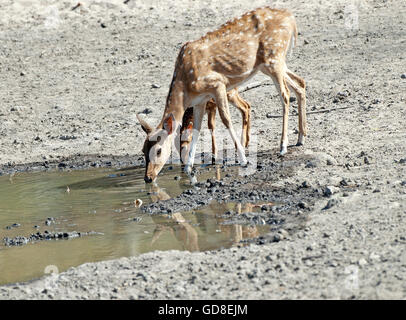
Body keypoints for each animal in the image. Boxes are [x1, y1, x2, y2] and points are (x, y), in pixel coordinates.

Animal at [138, 6, 306, 182]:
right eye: (143, 150)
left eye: (158, 150)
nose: (148, 178)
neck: (186, 88)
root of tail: (291, 18)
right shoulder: (200, 100)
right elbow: (197, 128)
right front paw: (189, 167)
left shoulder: (217, 84)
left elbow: (226, 120)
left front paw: (243, 159)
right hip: (270, 65)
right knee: (299, 84)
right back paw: (300, 138)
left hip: (274, 58)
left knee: (285, 95)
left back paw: (283, 146)